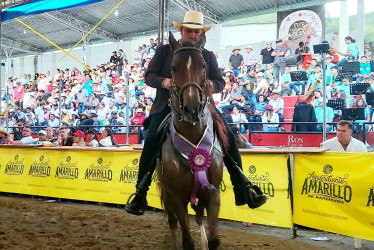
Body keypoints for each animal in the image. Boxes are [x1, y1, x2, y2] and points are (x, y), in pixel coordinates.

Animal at [156, 32, 226, 249]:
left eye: (203, 65)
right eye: (172, 67)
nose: (192, 108)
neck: (193, 142)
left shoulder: (212, 193)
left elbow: (214, 239)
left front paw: (208, 242)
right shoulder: (177, 198)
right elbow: (187, 240)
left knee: (200, 218)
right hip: (167, 194)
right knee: (172, 222)